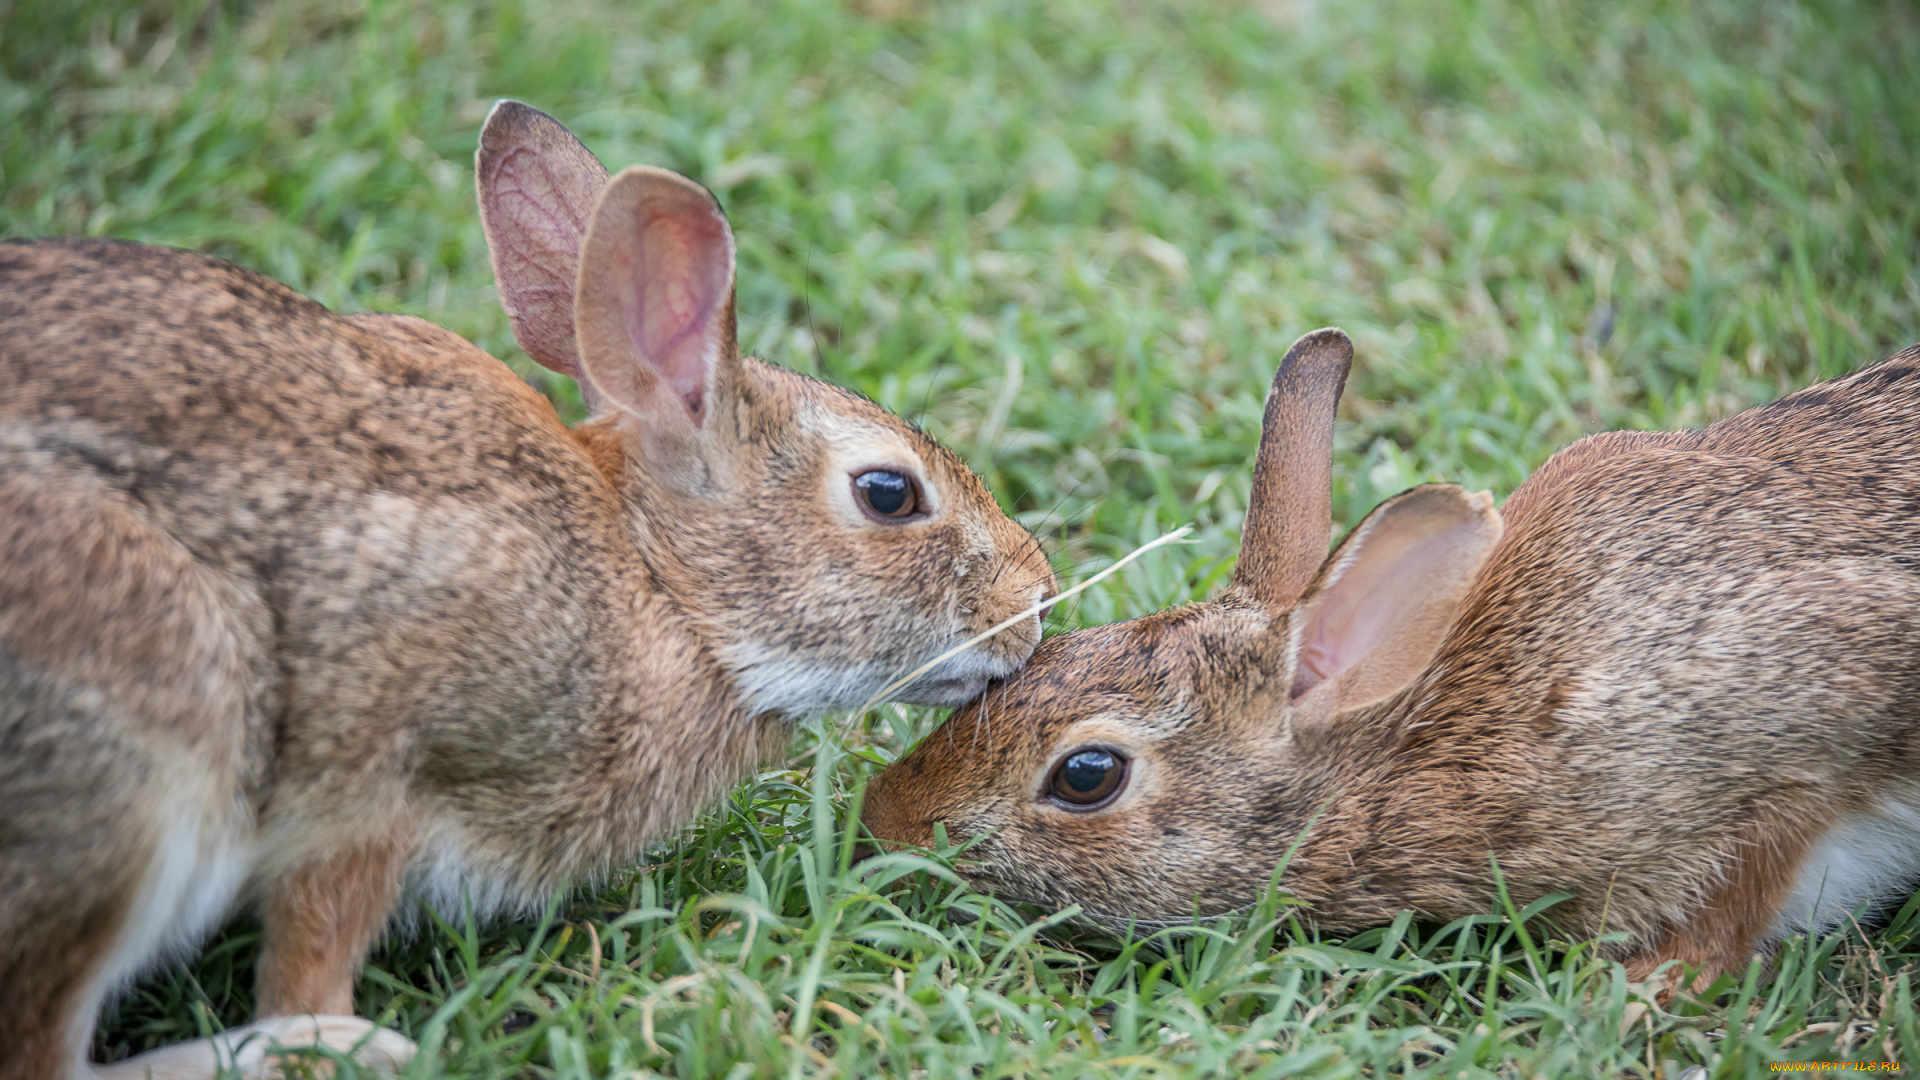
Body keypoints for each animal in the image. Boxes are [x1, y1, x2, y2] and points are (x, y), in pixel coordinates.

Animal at [0, 100, 1059, 1076]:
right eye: (888, 494)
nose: (1038, 602)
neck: (658, 585)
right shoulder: (372, 781)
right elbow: (315, 943)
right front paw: (331, 1032)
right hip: (152, 742)